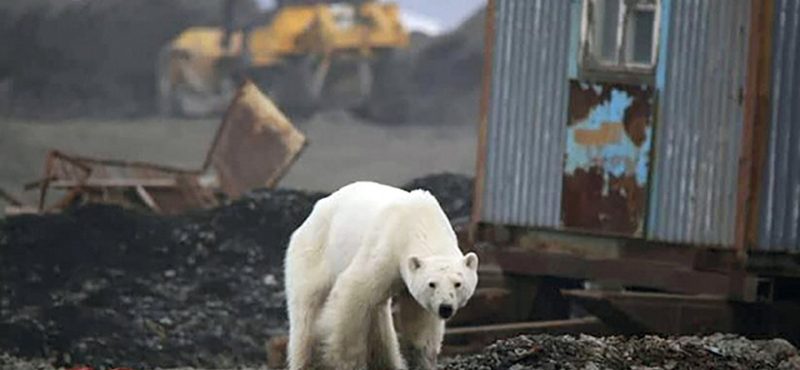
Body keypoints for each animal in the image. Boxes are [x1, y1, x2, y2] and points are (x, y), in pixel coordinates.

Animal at [284, 181, 478, 370]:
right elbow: (352, 293)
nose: (445, 308)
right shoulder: (386, 248)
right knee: (307, 310)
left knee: (378, 315)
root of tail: (312, 214)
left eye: (458, 283)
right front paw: (348, 362)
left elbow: (420, 319)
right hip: (314, 252)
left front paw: (423, 360)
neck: (420, 222)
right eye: (432, 284)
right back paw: (306, 361)